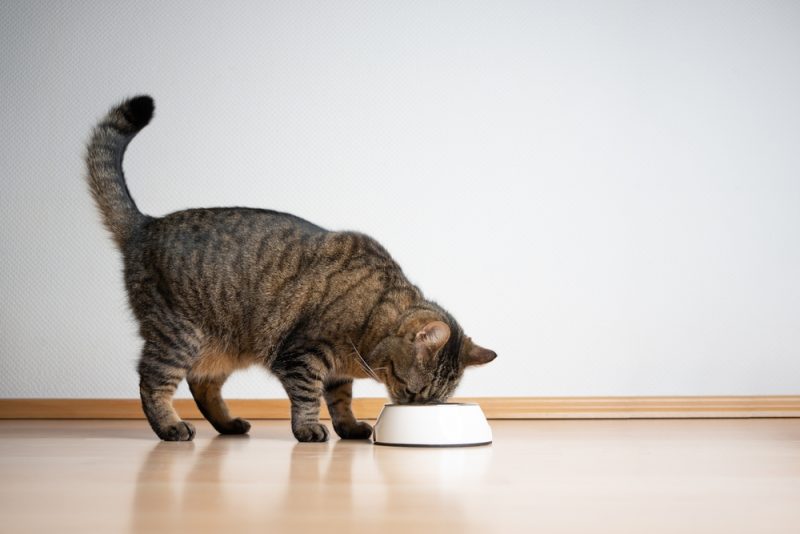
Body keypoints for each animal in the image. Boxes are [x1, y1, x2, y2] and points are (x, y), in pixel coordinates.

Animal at [83, 96, 494, 444]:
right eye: (412, 392)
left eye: (429, 400)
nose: (413, 410)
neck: (371, 316)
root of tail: (145, 224)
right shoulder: (303, 355)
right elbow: (310, 396)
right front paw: (310, 430)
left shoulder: (338, 372)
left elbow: (341, 401)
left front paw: (348, 428)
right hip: (179, 335)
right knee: (152, 381)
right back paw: (170, 426)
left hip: (222, 346)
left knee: (202, 385)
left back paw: (229, 425)